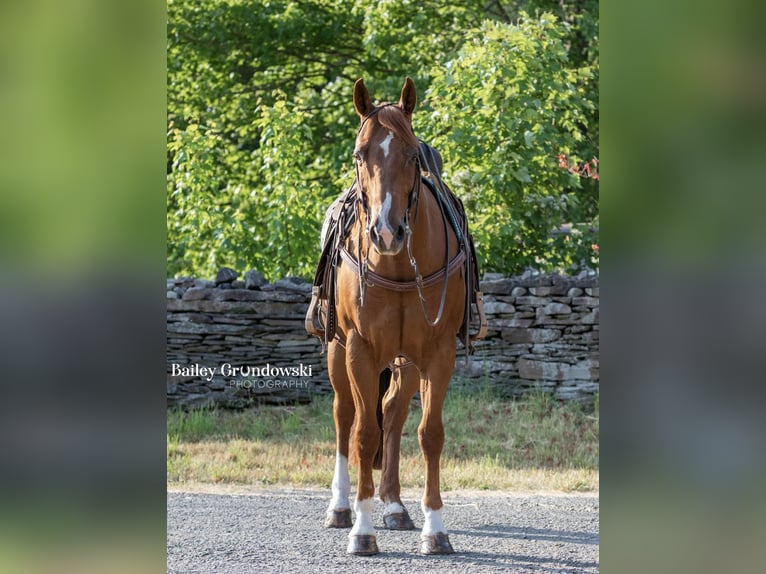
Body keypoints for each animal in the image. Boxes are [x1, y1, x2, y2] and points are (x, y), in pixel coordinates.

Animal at [324, 77, 468, 560]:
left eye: (411, 155)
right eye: (359, 154)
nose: (387, 233)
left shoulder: (440, 352)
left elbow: (429, 433)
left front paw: (435, 528)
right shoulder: (359, 349)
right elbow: (363, 433)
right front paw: (362, 530)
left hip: (404, 360)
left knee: (393, 411)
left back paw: (394, 504)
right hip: (336, 350)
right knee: (345, 415)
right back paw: (341, 506)